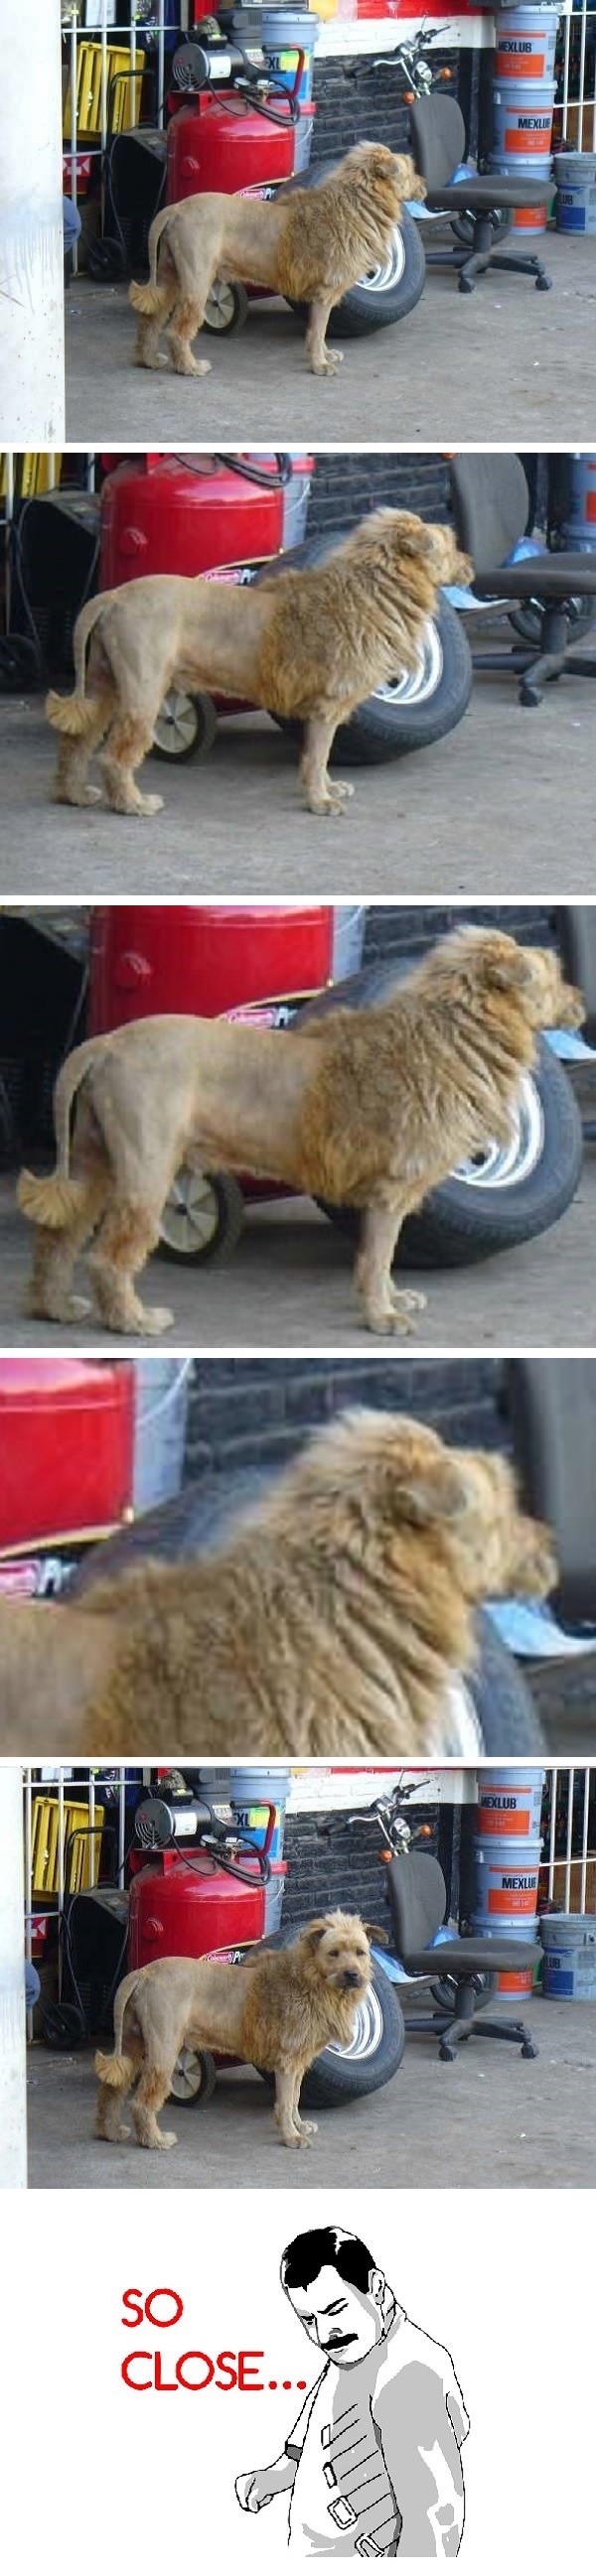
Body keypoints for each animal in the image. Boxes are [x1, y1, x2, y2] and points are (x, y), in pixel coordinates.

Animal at [128, 142, 426, 378]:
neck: (356, 203)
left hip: (169, 277)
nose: (424, 184)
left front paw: (326, 355)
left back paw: (149, 360)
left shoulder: (320, 295)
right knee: (177, 330)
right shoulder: (325, 292)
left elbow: (318, 331)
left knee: (150, 320)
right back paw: (191, 367)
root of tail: (175, 208)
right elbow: (319, 331)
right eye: (409, 169)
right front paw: (320, 365)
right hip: (197, 280)